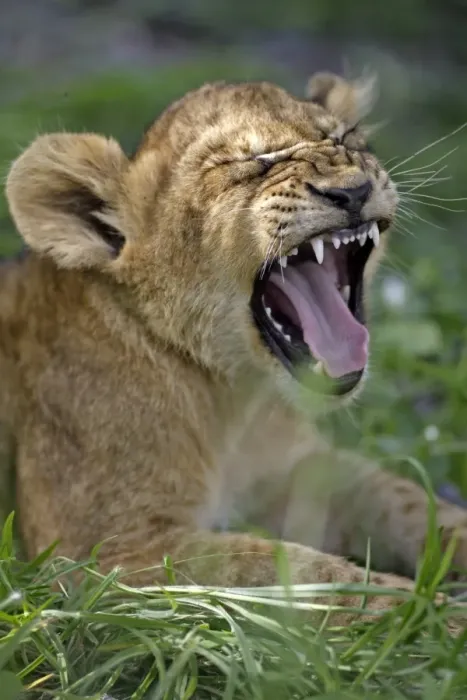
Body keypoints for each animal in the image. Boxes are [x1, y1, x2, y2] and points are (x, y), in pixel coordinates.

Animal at [1, 72, 467, 625]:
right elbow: (299, 572)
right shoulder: (102, 552)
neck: (233, 395)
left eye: (344, 139)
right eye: (251, 163)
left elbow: (410, 503)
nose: (352, 190)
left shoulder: (303, 471)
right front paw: (437, 617)